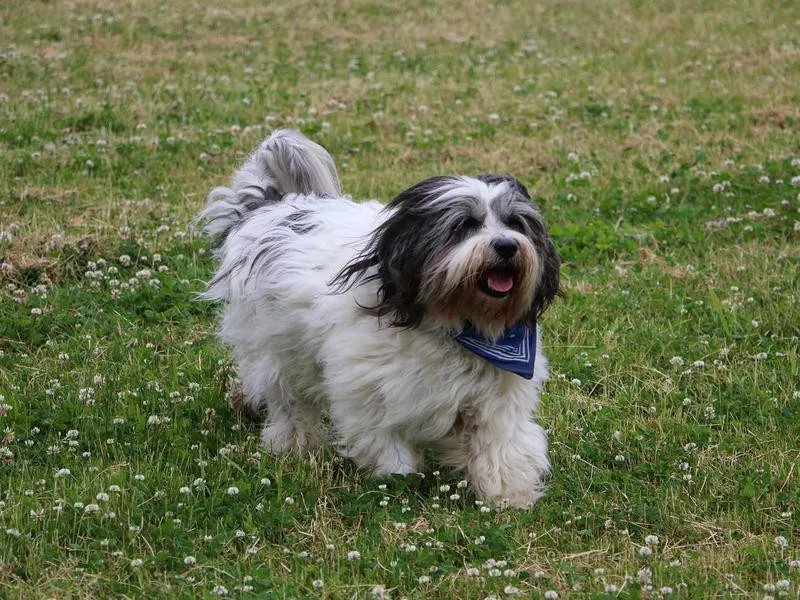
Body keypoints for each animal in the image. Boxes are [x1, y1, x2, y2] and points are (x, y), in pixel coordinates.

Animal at [198, 130, 564, 506]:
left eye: (515, 223)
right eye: (465, 225)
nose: (507, 246)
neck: (453, 322)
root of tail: (275, 206)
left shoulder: (496, 395)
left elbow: (501, 444)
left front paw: (509, 494)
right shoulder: (368, 387)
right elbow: (384, 438)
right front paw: (397, 478)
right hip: (278, 347)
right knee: (288, 399)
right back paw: (293, 443)